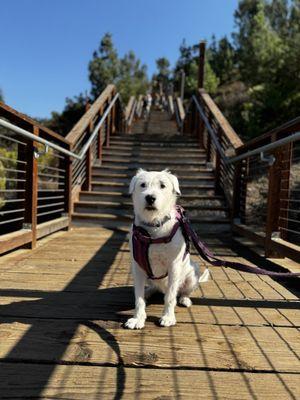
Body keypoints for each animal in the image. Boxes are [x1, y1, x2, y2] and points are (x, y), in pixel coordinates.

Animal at [124, 169, 209, 328]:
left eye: (162, 185)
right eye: (142, 185)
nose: (150, 198)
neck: (153, 227)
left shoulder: (174, 267)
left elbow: (170, 296)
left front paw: (168, 317)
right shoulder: (138, 267)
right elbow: (138, 297)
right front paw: (138, 318)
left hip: (192, 273)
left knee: (182, 292)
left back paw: (184, 299)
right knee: (153, 287)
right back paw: (149, 291)